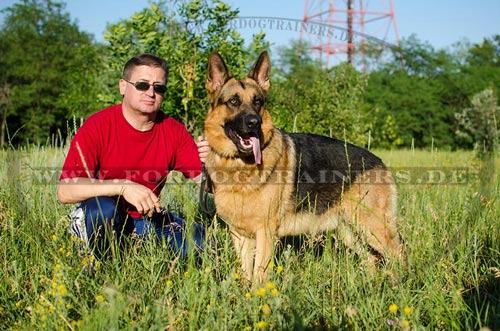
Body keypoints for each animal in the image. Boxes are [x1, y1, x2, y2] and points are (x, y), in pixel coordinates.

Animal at [203, 50, 402, 284]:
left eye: (258, 102)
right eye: (233, 101)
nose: (255, 122)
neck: (240, 166)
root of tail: (379, 161)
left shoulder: (265, 233)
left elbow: (260, 275)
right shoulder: (240, 235)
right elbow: (246, 275)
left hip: (374, 228)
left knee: (400, 253)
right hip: (349, 230)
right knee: (371, 259)